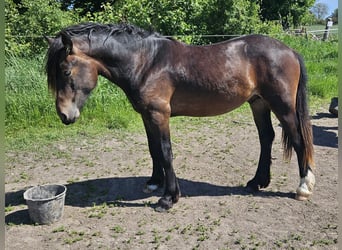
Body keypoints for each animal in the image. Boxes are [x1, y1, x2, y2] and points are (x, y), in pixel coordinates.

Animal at [45, 23, 316, 211]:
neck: (146, 62)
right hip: (258, 103)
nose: (64, 115)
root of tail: (290, 51)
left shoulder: (159, 114)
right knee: (266, 138)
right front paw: (155, 182)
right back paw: (257, 182)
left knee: (298, 140)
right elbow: (153, 149)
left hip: (282, 106)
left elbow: (166, 152)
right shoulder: (147, 115)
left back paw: (303, 187)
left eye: (66, 71)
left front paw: (168, 198)